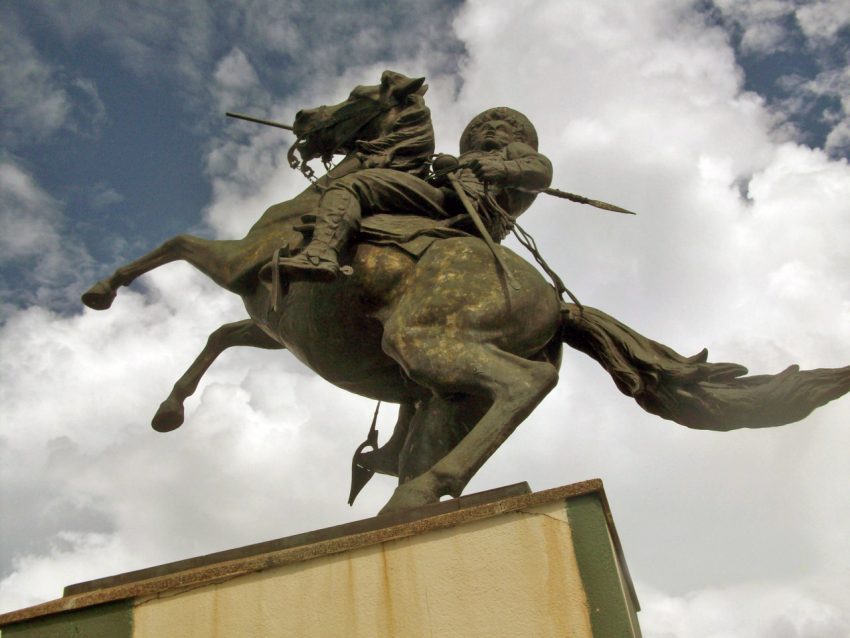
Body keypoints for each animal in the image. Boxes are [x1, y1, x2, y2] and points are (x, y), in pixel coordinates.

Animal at [83, 70, 848, 516]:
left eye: (359, 98)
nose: (301, 118)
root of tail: (558, 306)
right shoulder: (272, 322)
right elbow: (218, 335)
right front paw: (168, 410)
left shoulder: (237, 262)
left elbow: (174, 244)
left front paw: (101, 292)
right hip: (442, 391)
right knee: (461, 422)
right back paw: (403, 502)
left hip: (427, 341)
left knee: (525, 386)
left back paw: (427, 489)